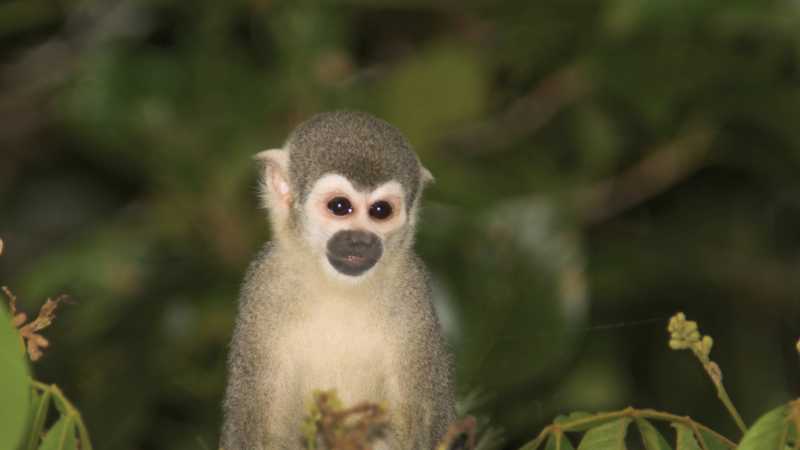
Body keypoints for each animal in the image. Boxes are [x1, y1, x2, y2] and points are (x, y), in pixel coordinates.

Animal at [220, 111, 456, 450]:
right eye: (340, 206)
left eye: (380, 210)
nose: (360, 240)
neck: (338, 287)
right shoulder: (263, 286)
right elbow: (251, 431)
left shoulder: (415, 292)